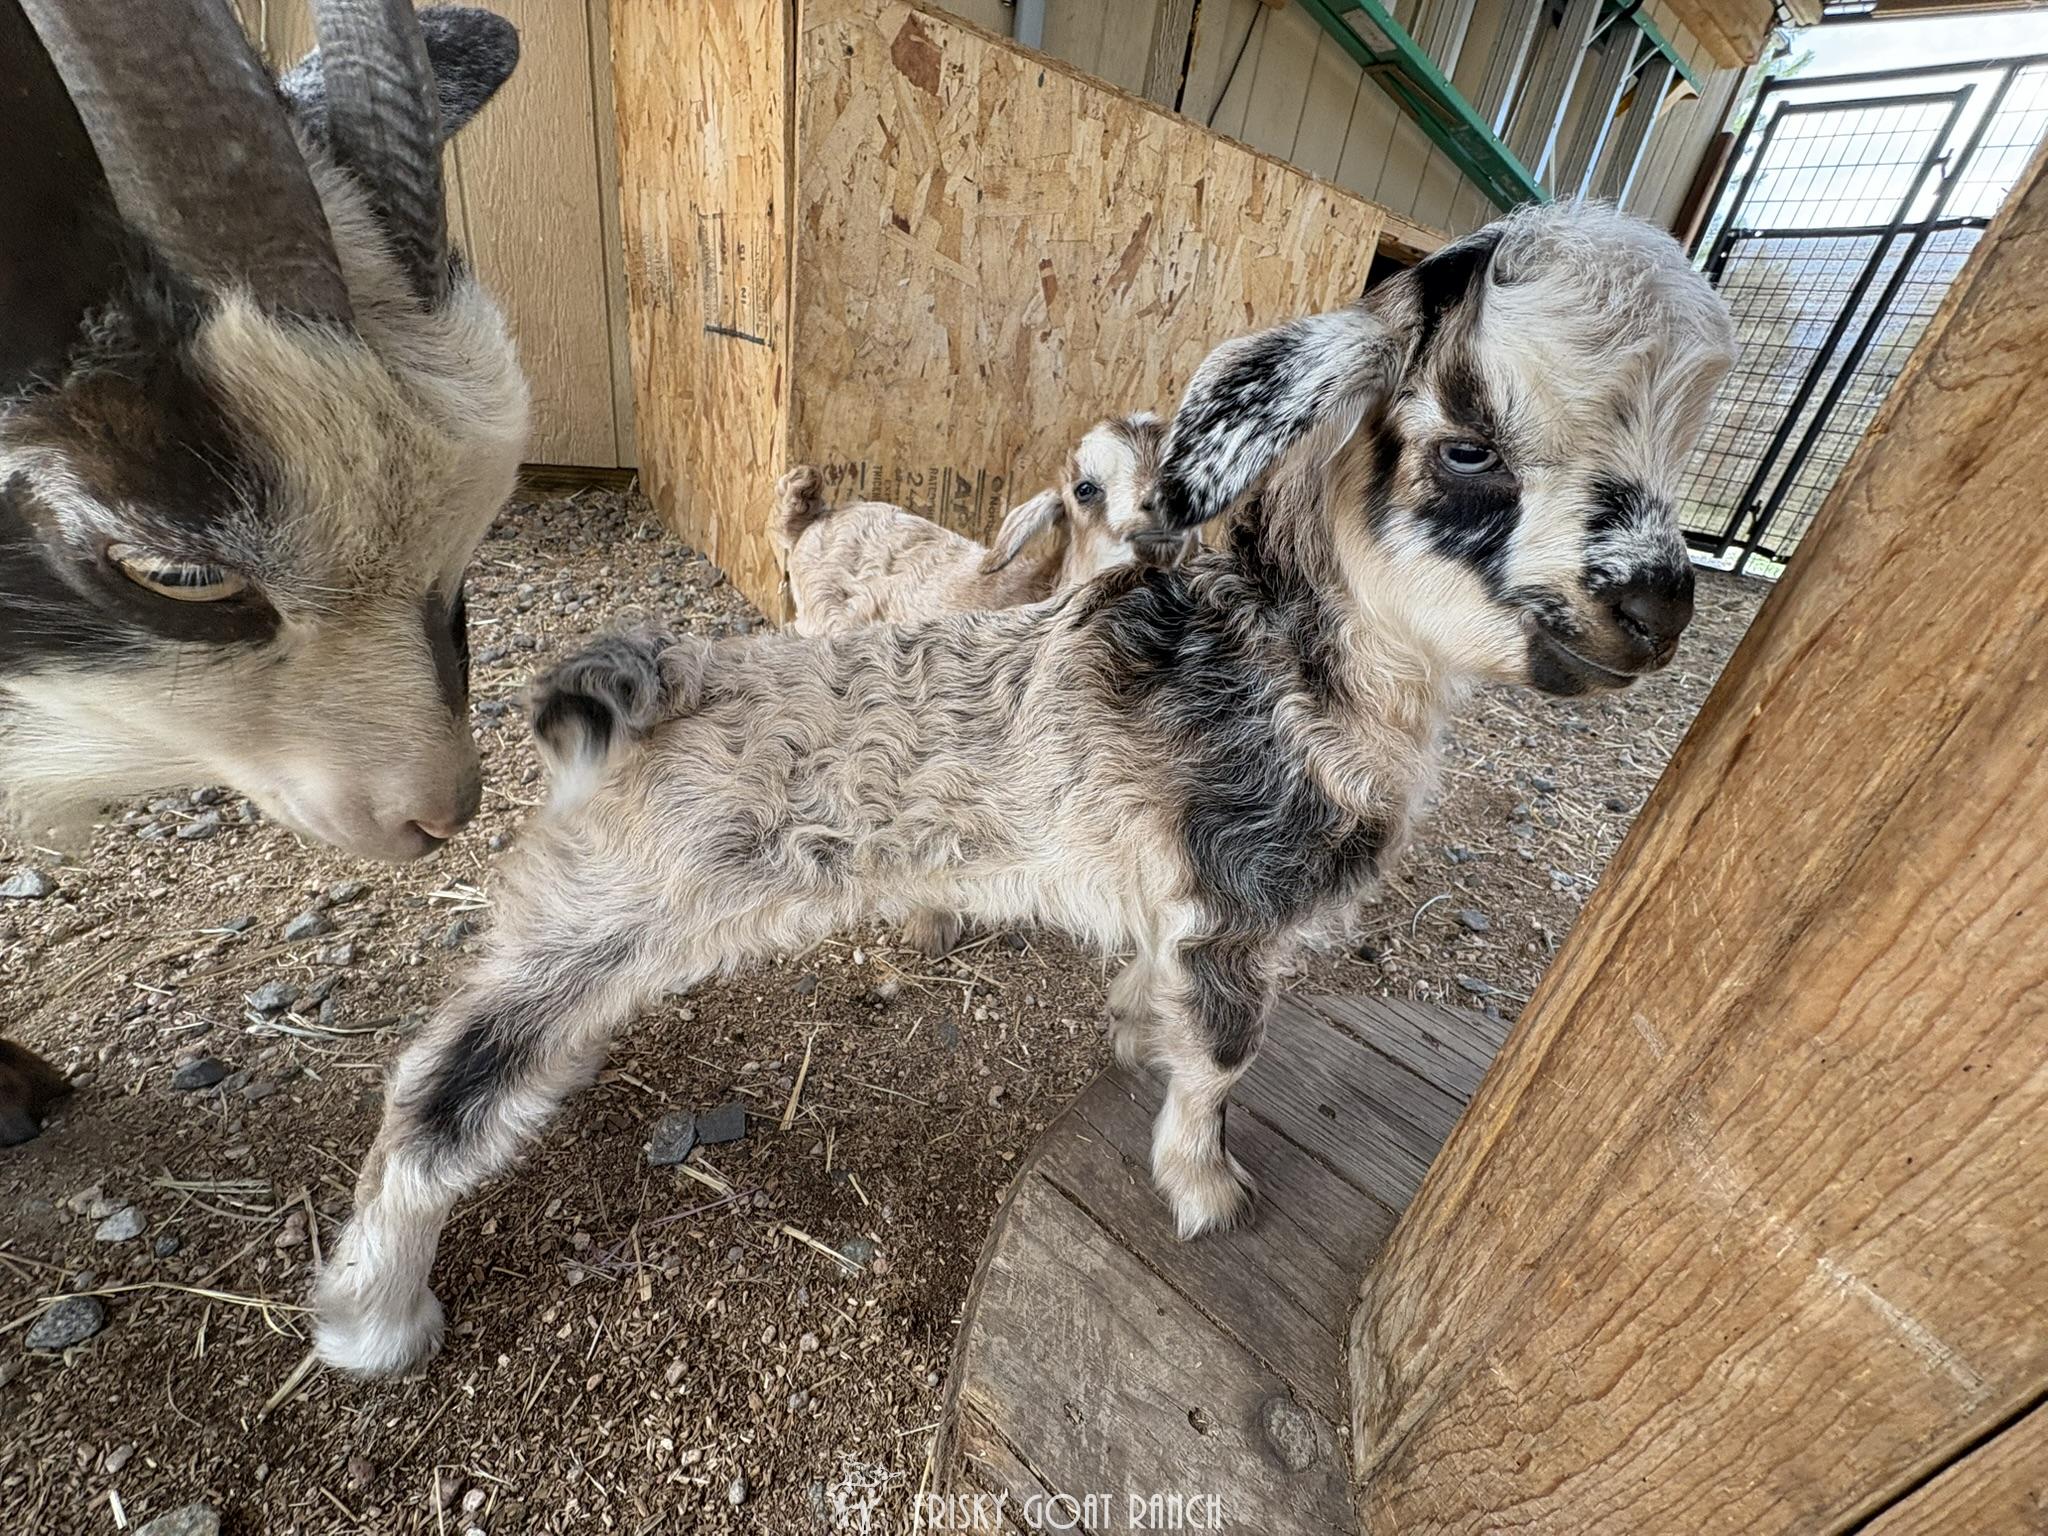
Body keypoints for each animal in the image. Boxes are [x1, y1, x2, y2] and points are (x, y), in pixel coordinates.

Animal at [312, 202, 1736, 1376]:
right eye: (1469, 448)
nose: (1659, 607)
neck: (1285, 670)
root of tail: (639, 688)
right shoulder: (1231, 907)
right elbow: (1223, 1060)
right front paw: (1205, 1193)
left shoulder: (1172, 907)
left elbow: (1155, 1002)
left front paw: (1132, 1038)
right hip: (607, 908)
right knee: (433, 1091)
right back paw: (373, 1321)